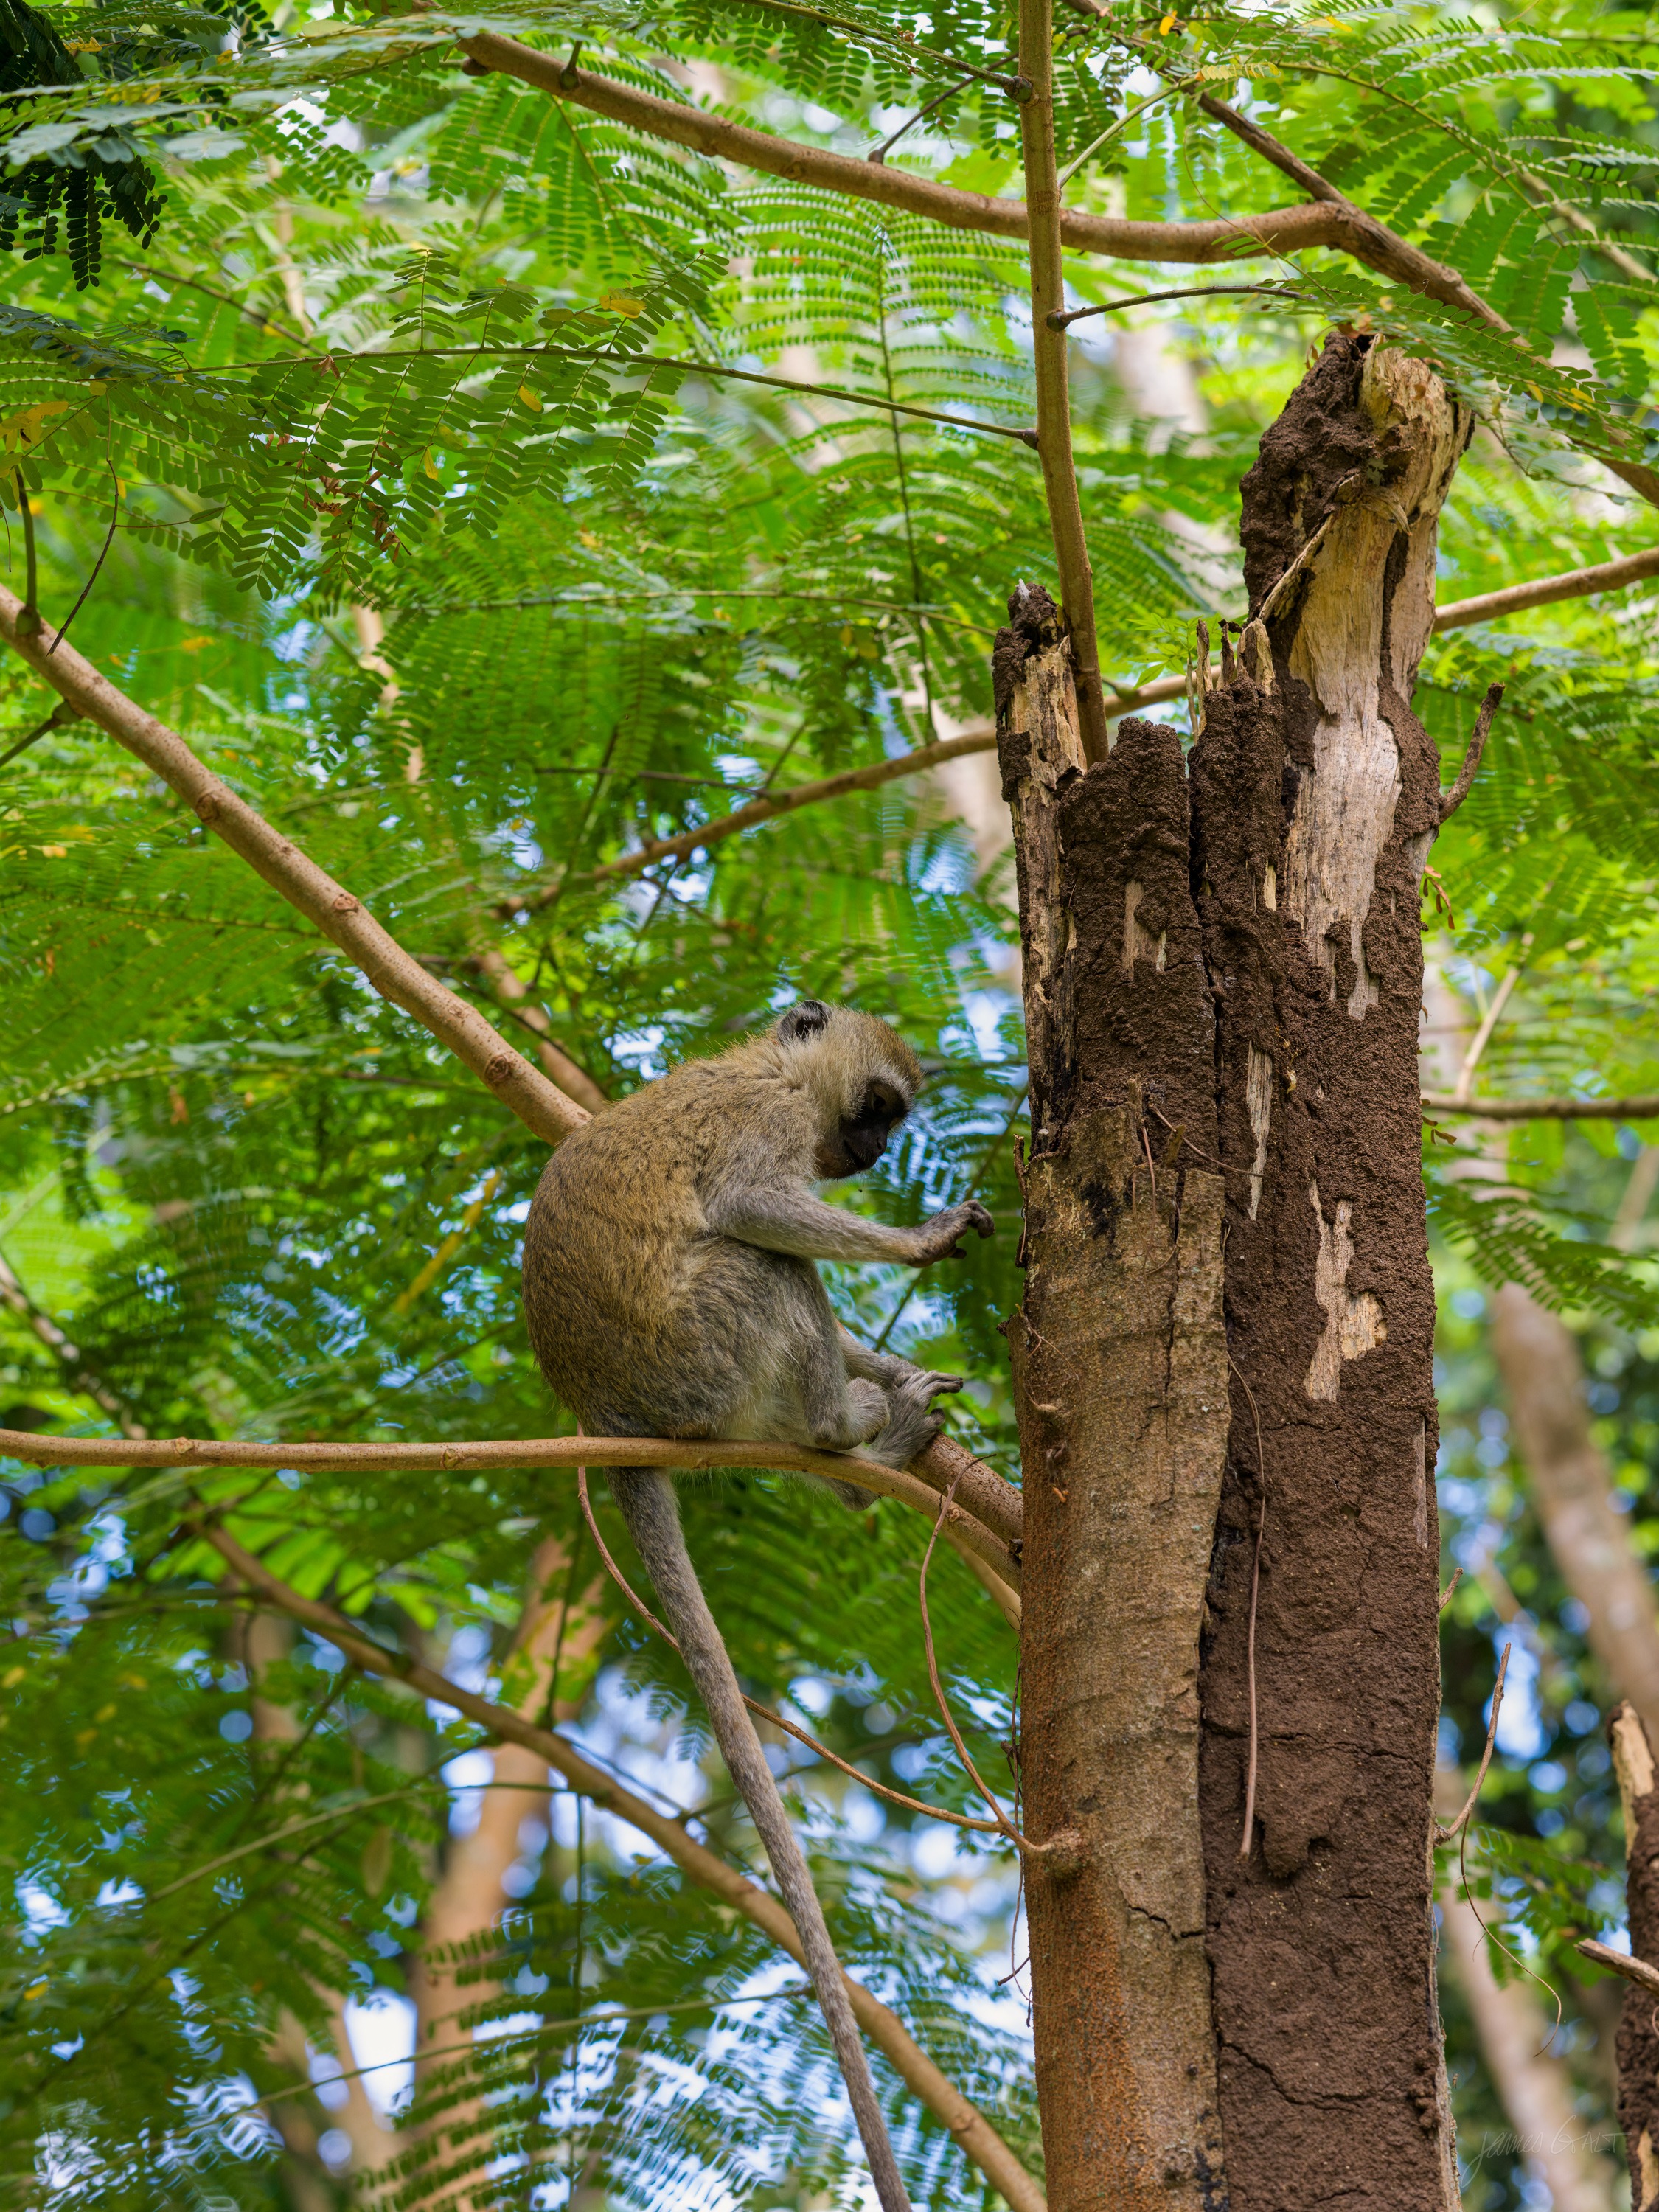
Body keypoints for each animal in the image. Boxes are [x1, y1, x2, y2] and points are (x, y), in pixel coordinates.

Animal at [523, 999, 993, 2212]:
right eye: (877, 1109)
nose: (870, 1155)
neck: (763, 1066)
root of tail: (606, 1416)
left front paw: (894, 1357)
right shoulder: (767, 1127)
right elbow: (750, 1209)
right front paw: (920, 1244)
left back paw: (860, 1447)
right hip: (703, 1349)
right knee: (763, 1264)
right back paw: (846, 1432)